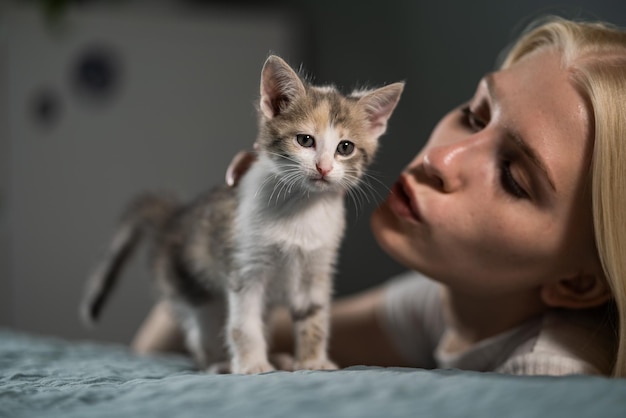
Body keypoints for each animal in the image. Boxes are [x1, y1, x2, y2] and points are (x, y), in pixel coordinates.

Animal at [80, 56, 402, 376]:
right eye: (305, 140)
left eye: (345, 147)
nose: (323, 168)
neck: (301, 209)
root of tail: (174, 217)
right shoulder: (245, 268)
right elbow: (244, 323)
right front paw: (252, 366)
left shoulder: (317, 267)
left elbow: (314, 316)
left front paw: (312, 362)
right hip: (192, 290)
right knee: (203, 330)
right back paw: (218, 364)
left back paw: (280, 359)